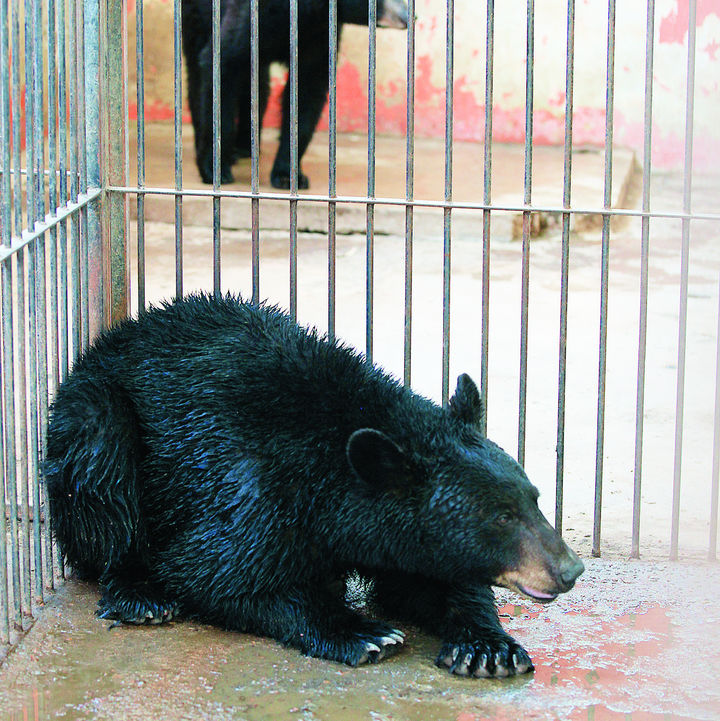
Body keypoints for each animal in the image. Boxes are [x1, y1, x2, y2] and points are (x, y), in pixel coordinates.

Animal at [43, 292, 584, 676]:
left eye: (534, 499)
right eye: (501, 517)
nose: (569, 569)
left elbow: (421, 578)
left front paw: (487, 646)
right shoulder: (256, 493)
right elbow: (212, 573)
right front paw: (359, 631)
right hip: (88, 414)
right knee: (102, 467)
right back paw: (139, 594)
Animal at [180, 0, 408, 188]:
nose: (408, 17)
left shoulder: (319, 36)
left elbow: (307, 96)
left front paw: (288, 176)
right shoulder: (256, 17)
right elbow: (222, 63)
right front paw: (214, 170)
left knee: (258, 86)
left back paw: (245, 147)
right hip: (196, 14)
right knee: (196, 73)